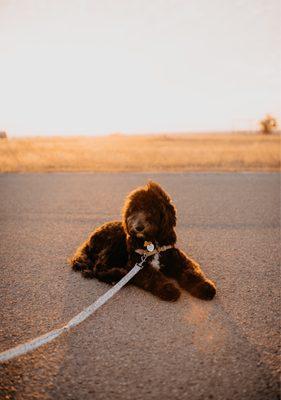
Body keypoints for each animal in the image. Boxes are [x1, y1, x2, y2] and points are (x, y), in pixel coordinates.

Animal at [69, 180, 215, 300]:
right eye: (133, 210)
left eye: (152, 210)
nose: (138, 227)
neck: (152, 243)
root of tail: (89, 239)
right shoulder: (137, 264)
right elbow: (153, 276)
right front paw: (168, 289)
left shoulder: (178, 259)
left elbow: (191, 271)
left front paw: (204, 287)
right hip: (113, 243)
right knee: (98, 267)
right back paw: (117, 276)